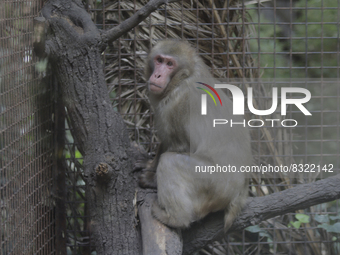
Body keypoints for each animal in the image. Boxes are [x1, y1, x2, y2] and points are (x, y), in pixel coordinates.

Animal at [139, 39, 252, 231]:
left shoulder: (176, 104)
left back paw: (175, 218)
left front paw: (151, 180)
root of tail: (239, 193)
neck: (184, 76)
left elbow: (179, 145)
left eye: (170, 64)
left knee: (170, 162)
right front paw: (150, 168)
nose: (158, 75)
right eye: (159, 60)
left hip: (214, 183)